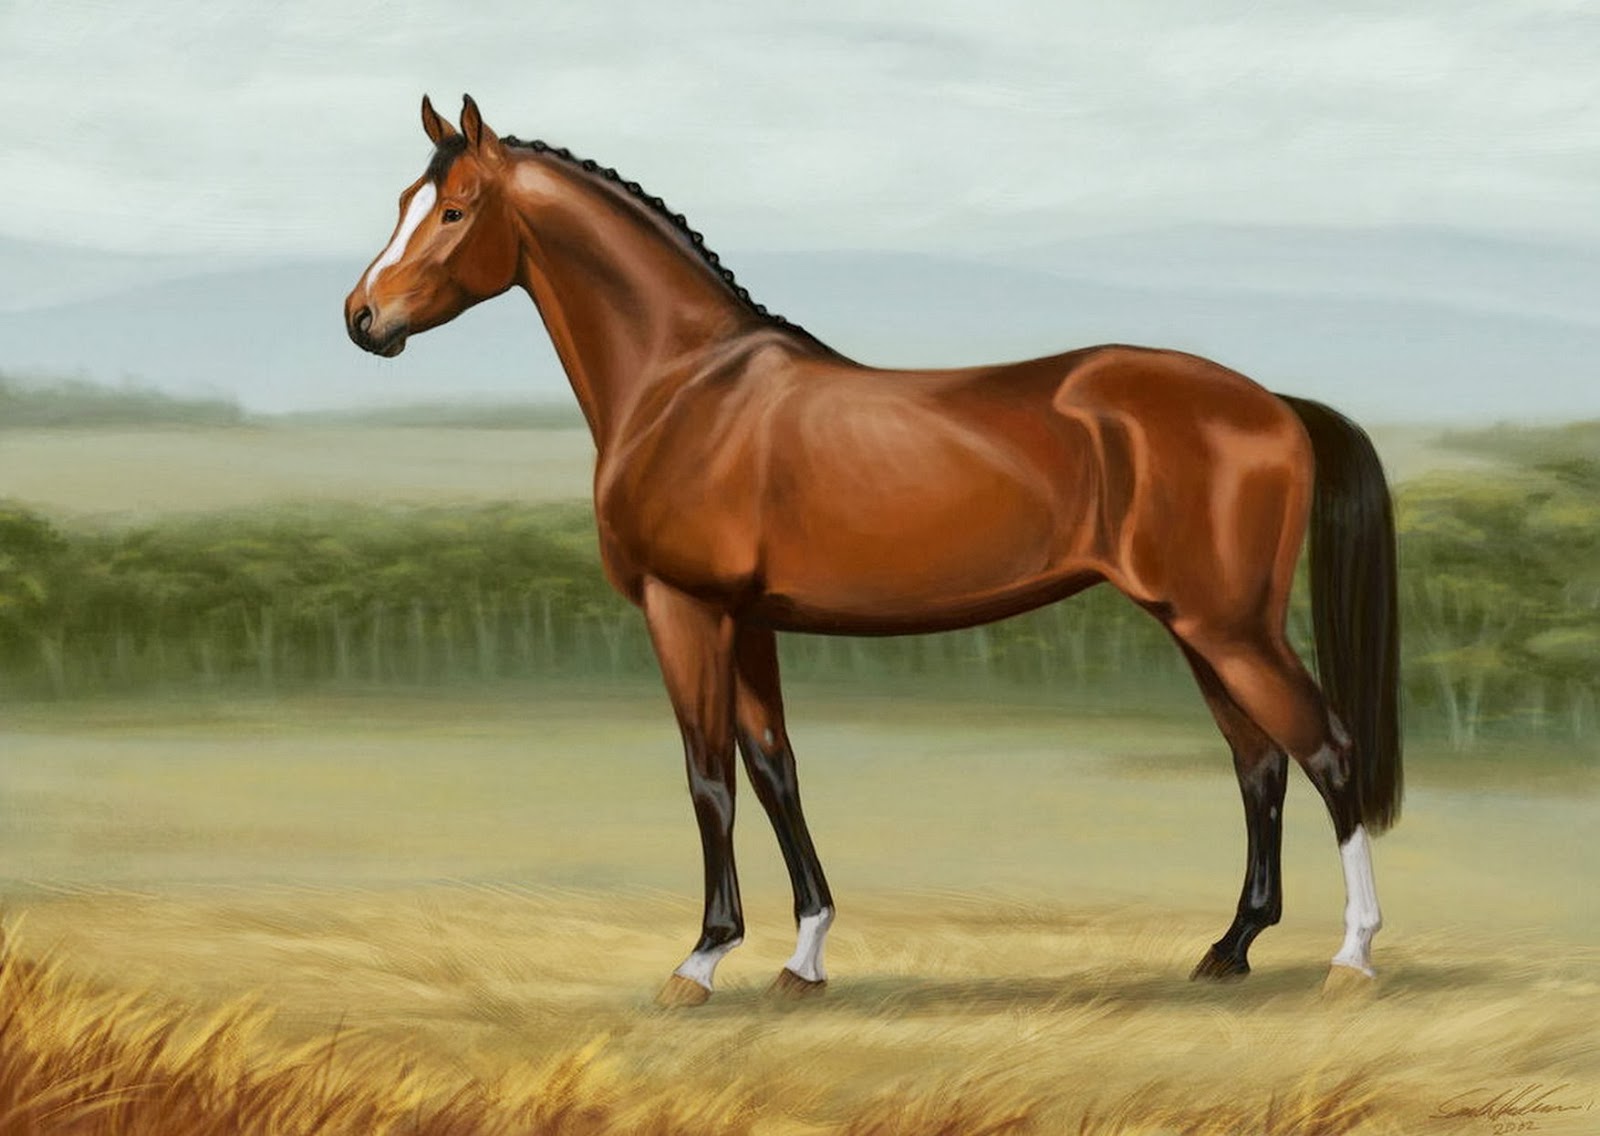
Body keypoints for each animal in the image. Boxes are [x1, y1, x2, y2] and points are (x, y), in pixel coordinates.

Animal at [345, 95, 1402, 1008]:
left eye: (454, 209)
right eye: (403, 203)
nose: (362, 319)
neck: (687, 386)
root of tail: (1274, 404)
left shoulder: (687, 610)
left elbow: (708, 778)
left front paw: (701, 961)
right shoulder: (750, 622)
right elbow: (774, 769)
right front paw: (804, 956)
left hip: (1228, 627)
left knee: (1327, 748)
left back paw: (1351, 956)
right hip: (1199, 628)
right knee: (1259, 763)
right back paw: (1230, 948)